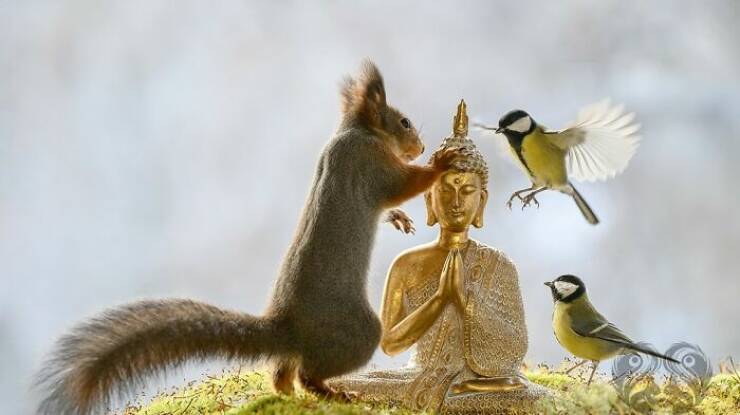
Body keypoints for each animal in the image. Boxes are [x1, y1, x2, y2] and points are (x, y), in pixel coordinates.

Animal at [34, 61, 463, 415]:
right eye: (404, 122)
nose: (421, 145)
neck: (356, 131)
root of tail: (288, 328)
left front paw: (399, 217)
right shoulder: (369, 163)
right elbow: (402, 184)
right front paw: (440, 164)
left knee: (282, 371)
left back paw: (287, 393)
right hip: (358, 332)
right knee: (309, 372)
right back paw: (333, 392)